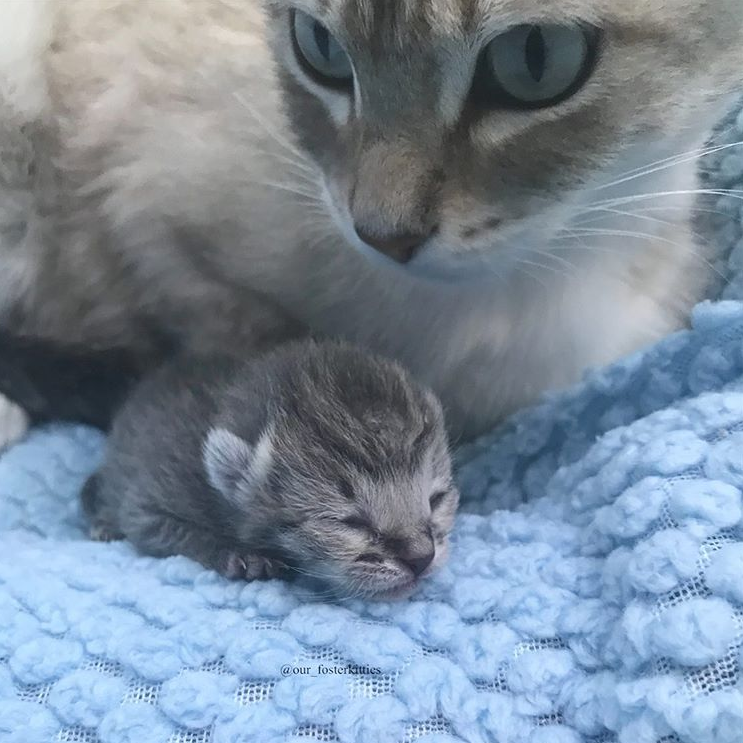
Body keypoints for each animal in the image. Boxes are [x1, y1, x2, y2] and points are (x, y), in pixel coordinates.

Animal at [82, 340, 458, 600]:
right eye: (350, 522)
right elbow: (154, 527)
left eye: (436, 499)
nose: (422, 557)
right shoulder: (150, 498)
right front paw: (240, 554)